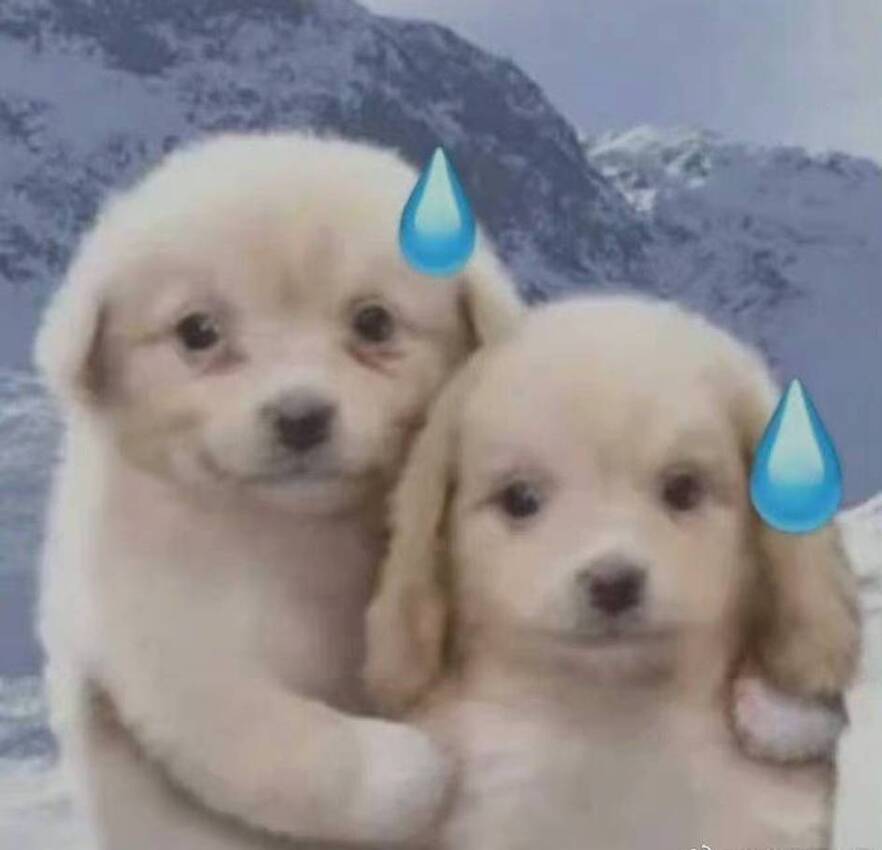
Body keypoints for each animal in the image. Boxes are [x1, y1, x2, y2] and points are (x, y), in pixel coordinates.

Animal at [35, 131, 523, 849]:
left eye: (374, 322)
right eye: (198, 332)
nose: (300, 416)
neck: (295, 536)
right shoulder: (160, 627)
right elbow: (266, 732)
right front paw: (406, 770)